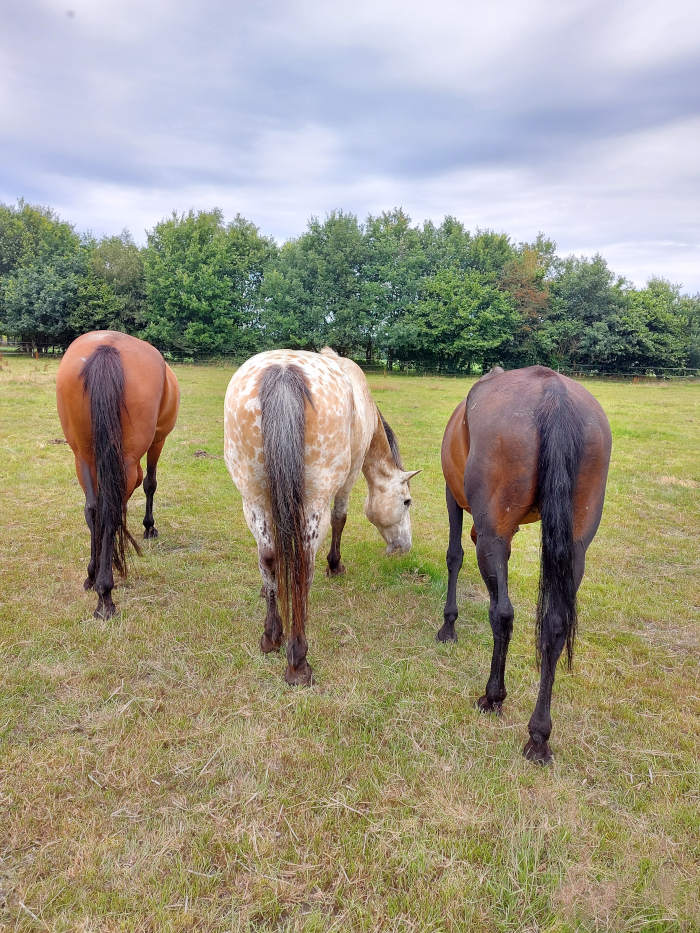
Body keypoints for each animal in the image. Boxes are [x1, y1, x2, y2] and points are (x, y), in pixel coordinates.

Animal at [56, 330, 180, 620]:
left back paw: (93, 577)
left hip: (83, 456)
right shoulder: (158, 440)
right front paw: (149, 527)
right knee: (110, 508)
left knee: (94, 509)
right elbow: (150, 483)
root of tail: (107, 346)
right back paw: (105, 595)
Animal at [227, 350, 418, 684]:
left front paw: (267, 591)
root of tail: (283, 372)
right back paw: (297, 661)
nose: (404, 547)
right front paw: (335, 565)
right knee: (304, 560)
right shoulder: (349, 476)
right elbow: (341, 518)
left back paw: (271, 636)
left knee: (269, 555)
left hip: (253, 498)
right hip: (313, 502)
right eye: (406, 501)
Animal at [440, 360, 608, 760]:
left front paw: (448, 625)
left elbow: (454, 556)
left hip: (493, 533)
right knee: (556, 625)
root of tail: (554, 396)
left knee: (502, 614)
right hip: (574, 548)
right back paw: (539, 735)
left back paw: (493, 696)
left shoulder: (453, 497)